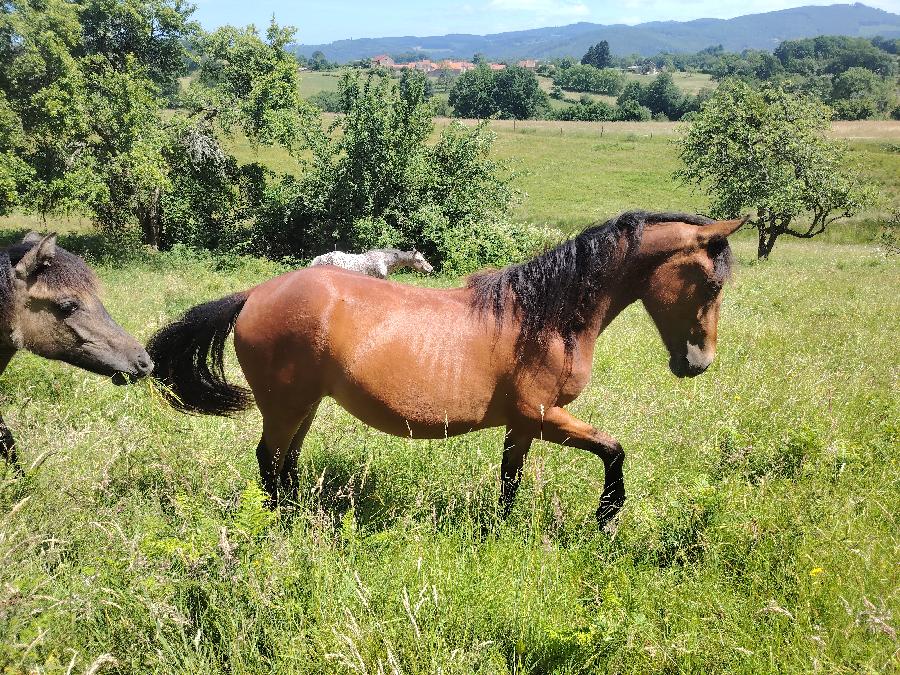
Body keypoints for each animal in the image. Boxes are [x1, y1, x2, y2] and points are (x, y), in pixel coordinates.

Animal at [147, 211, 745, 527]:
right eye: (711, 284)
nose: (698, 363)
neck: (546, 313)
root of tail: (253, 295)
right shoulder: (543, 416)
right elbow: (613, 449)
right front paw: (607, 515)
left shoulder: (522, 425)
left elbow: (510, 479)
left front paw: (501, 531)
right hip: (285, 405)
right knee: (270, 463)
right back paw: (282, 528)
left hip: (305, 405)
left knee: (286, 463)